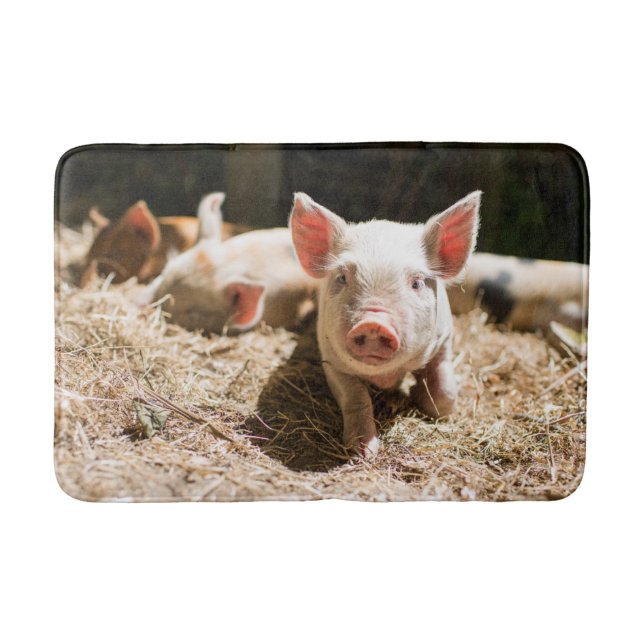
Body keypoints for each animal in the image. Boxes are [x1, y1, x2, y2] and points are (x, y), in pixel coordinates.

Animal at [289, 191, 481, 458]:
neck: (386, 376)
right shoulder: (331, 359)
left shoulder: (444, 341)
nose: (373, 323)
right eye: (342, 277)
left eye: (417, 283)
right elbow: (356, 398)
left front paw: (423, 401)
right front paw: (362, 453)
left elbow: (444, 393)